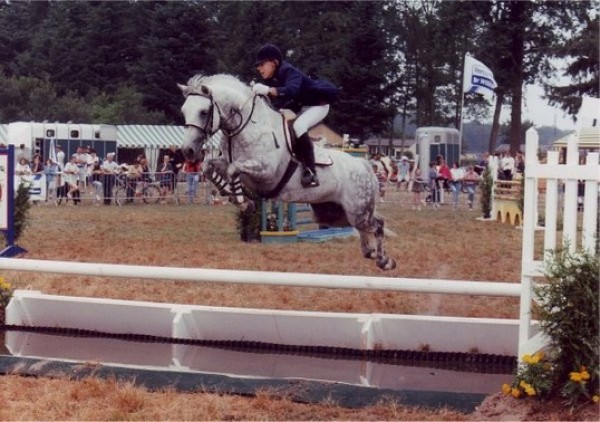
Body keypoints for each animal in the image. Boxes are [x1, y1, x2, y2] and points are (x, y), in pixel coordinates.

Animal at [176, 73, 396, 270]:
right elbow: (208, 166)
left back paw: (385, 260)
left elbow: (233, 169)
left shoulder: (266, 170)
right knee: (365, 227)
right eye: (184, 111)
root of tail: (364, 165)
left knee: (377, 223)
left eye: (204, 111)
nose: (188, 151)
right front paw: (231, 193)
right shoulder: (226, 161)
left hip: (357, 209)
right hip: (335, 214)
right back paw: (371, 252)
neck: (245, 128)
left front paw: (242, 200)